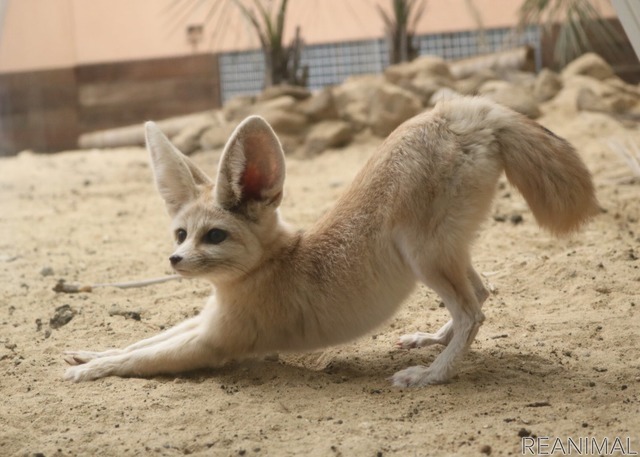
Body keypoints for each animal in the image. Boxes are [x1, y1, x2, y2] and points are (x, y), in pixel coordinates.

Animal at [62, 96, 596, 384]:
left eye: (213, 236)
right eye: (179, 233)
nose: (174, 259)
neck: (268, 266)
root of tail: (463, 109)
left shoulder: (216, 341)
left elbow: (145, 358)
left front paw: (91, 371)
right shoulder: (204, 320)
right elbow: (144, 340)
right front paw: (91, 353)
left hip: (423, 256)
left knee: (473, 312)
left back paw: (431, 374)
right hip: (447, 252)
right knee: (481, 294)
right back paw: (431, 341)